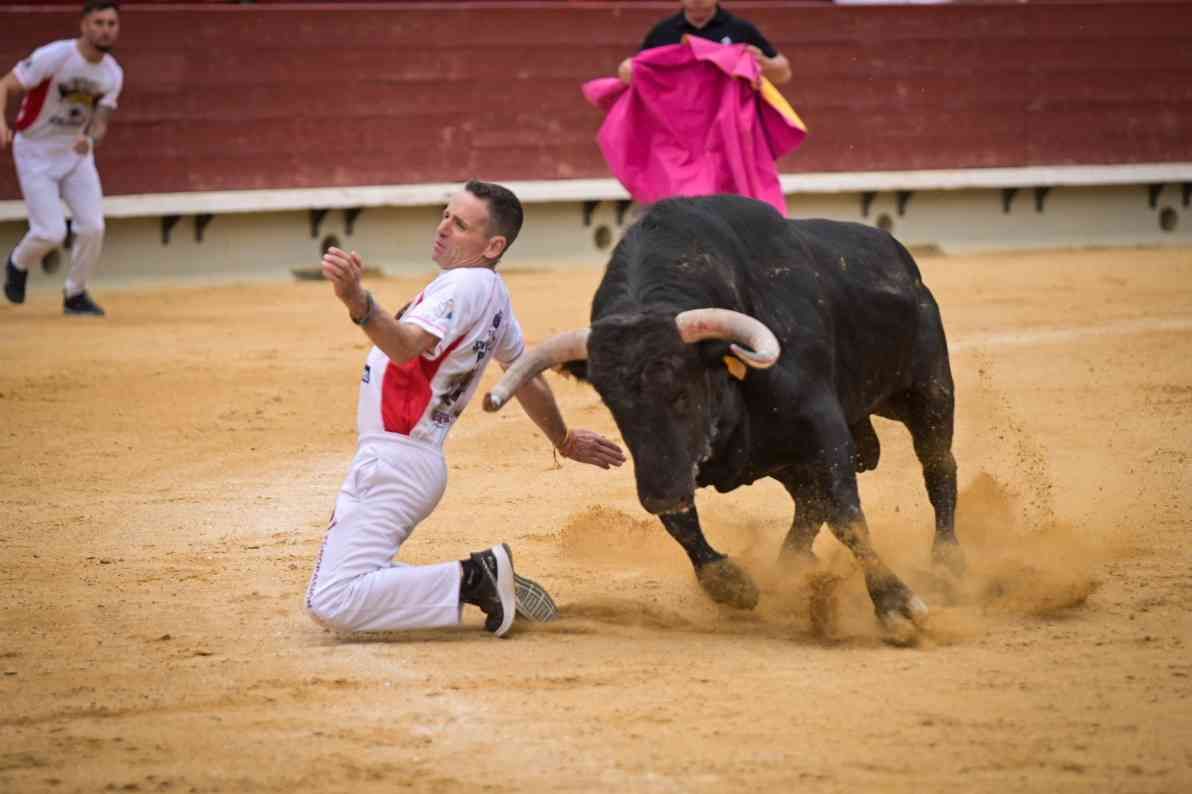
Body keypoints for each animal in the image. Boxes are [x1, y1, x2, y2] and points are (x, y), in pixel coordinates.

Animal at [483, 194, 958, 634]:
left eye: (681, 392)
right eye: (612, 404)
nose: (657, 494)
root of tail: (901, 261)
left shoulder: (824, 429)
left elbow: (847, 514)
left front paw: (895, 604)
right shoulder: (673, 465)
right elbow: (681, 522)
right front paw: (731, 583)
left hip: (928, 391)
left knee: (938, 467)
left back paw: (946, 563)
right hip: (784, 458)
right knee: (808, 502)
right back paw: (787, 569)